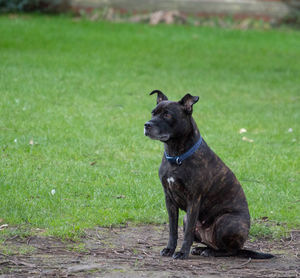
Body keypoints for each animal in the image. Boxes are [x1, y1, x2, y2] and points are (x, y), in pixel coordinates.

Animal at [144, 90, 274, 260]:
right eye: (153, 113)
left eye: (167, 114)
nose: (147, 125)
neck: (177, 155)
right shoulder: (169, 199)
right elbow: (173, 229)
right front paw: (169, 249)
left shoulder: (194, 199)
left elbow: (187, 234)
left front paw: (182, 253)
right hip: (189, 220)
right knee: (212, 243)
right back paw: (201, 249)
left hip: (226, 221)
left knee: (231, 251)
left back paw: (210, 252)